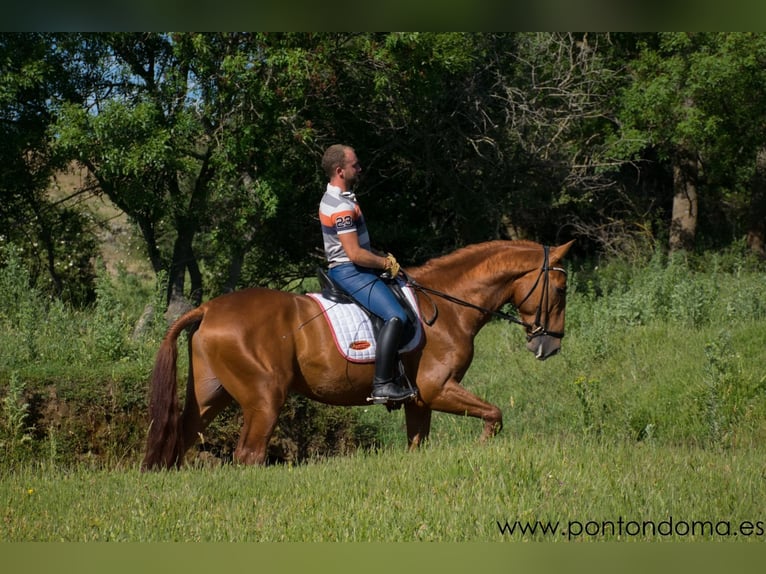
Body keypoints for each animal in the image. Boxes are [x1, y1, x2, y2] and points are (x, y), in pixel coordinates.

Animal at [142, 241, 576, 470]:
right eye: (561, 289)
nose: (550, 345)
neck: (448, 306)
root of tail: (208, 309)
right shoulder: (437, 389)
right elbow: (494, 416)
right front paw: (483, 451)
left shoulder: (419, 401)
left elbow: (417, 443)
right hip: (265, 398)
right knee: (249, 453)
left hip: (210, 395)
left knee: (182, 440)